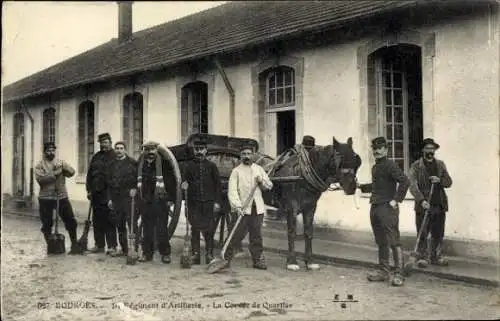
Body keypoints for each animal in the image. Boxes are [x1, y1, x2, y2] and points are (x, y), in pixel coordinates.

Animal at [262, 136, 360, 270]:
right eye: (340, 158)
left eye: (356, 159)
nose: (351, 186)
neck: (300, 174)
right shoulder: (291, 208)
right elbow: (292, 232)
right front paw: (292, 261)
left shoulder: (310, 207)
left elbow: (308, 232)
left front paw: (309, 261)